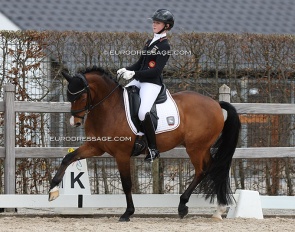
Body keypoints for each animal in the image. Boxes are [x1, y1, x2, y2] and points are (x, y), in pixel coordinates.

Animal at [48, 66, 242, 221]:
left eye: (81, 95)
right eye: (69, 96)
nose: (74, 122)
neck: (109, 108)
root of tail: (216, 103)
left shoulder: (122, 154)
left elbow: (127, 183)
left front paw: (128, 213)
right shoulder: (95, 147)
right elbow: (68, 158)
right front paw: (53, 189)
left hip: (196, 148)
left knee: (203, 170)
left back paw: (184, 206)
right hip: (202, 148)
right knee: (212, 168)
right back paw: (218, 209)